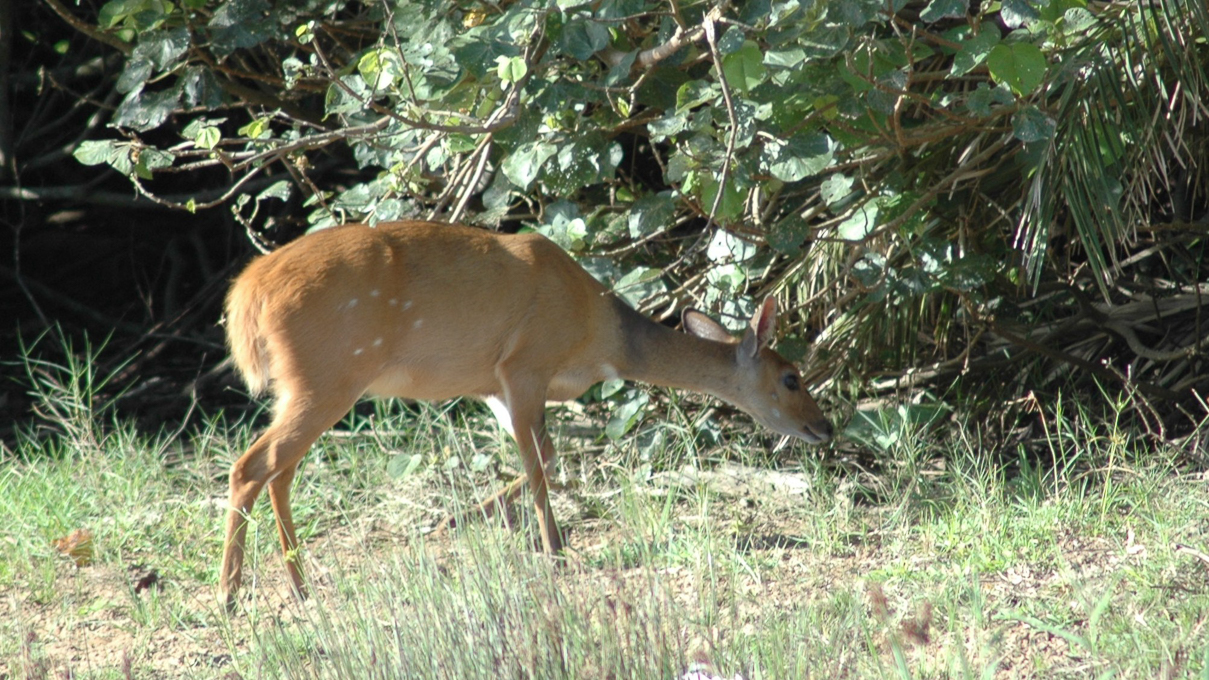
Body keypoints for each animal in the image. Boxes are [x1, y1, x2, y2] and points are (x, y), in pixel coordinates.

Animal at [220, 220, 832, 607]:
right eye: (792, 377)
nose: (824, 428)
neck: (598, 336)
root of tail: (248, 292)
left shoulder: (491, 381)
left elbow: (548, 457)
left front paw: (457, 520)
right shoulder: (525, 364)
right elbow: (539, 466)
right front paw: (555, 550)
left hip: (302, 384)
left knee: (280, 470)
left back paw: (299, 585)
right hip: (330, 373)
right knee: (252, 465)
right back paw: (231, 593)